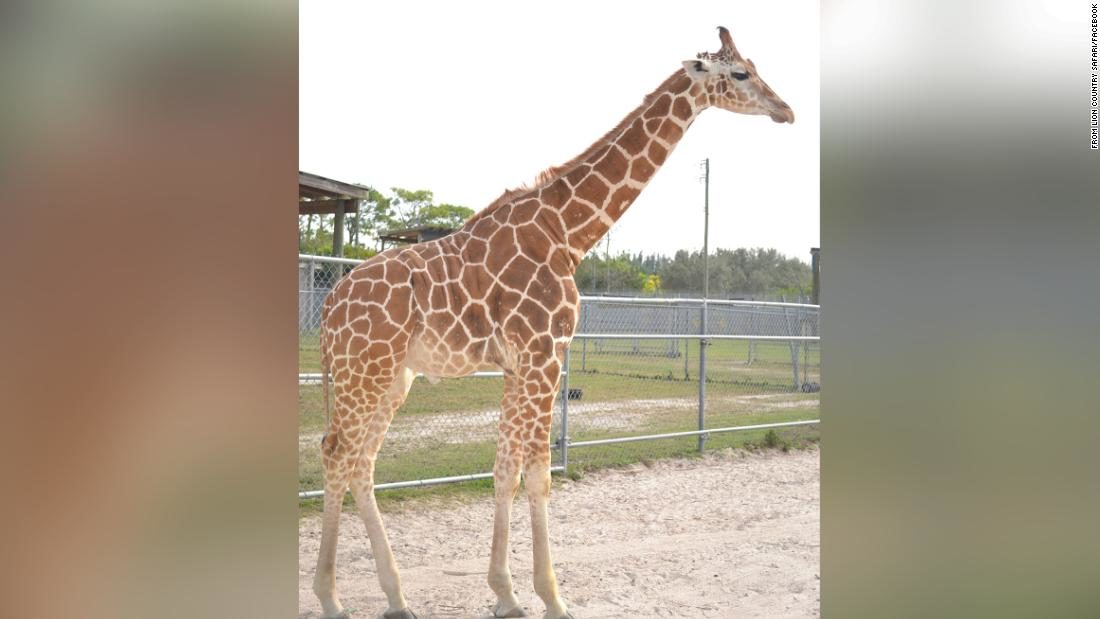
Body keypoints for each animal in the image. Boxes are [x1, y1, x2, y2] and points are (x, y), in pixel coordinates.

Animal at [312, 26, 793, 619]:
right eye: (741, 73)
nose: (786, 110)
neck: (570, 231)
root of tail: (329, 306)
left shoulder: (520, 363)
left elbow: (505, 469)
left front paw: (505, 593)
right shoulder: (545, 352)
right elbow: (538, 473)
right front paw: (550, 596)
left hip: (392, 376)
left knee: (361, 463)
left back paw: (397, 597)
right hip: (365, 370)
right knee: (336, 453)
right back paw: (331, 597)